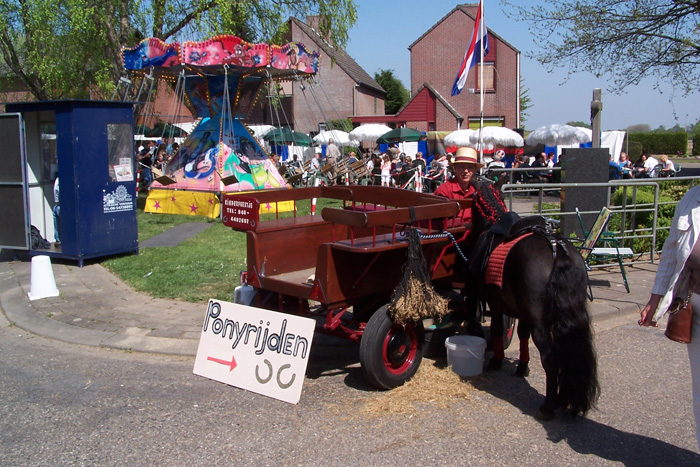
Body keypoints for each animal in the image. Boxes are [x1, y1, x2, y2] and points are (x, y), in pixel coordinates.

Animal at [468, 178, 600, 420]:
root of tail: (558, 250)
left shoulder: (499, 305)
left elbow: (499, 329)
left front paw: (497, 360)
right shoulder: (521, 311)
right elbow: (521, 334)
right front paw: (522, 366)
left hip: (539, 321)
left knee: (550, 358)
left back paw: (548, 406)